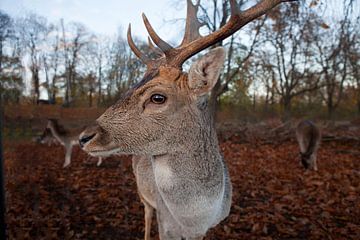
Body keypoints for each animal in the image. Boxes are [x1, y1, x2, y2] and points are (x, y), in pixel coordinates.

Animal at [77, 0, 294, 239]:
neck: (194, 219)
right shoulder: (165, 224)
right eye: (129, 88)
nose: (84, 137)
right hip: (142, 193)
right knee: (147, 214)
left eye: (157, 97)